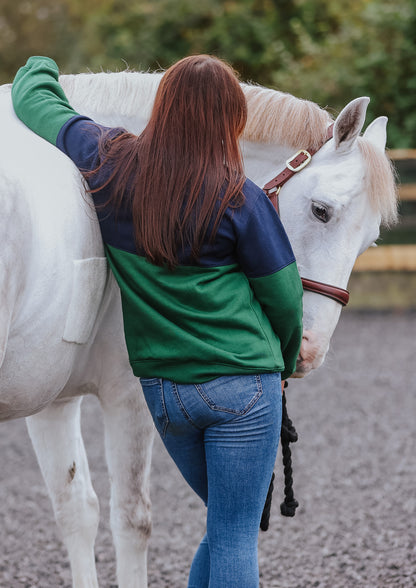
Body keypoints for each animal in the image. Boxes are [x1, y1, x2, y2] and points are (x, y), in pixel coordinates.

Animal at [0, 70, 396, 588]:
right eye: (321, 210)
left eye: (369, 241)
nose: (308, 350)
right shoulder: (129, 396)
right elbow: (131, 519)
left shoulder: (54, 401)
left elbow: (76, 511)